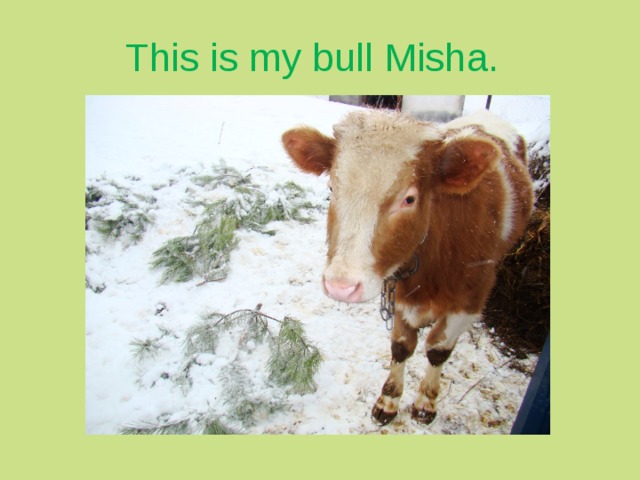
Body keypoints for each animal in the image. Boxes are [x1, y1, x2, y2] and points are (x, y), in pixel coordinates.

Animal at [282, 108, 533, 426]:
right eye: (331, 188)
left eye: (409, 198)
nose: (341, 286)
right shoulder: (399, 291)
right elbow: (401, 346)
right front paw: (389, 400)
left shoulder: (472, 298)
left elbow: (438, 349)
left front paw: (426, 401)